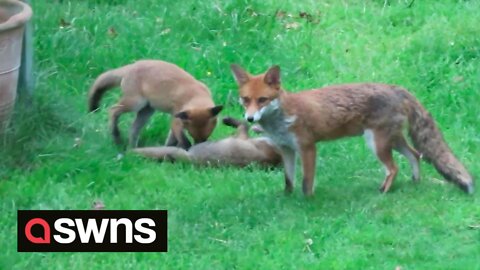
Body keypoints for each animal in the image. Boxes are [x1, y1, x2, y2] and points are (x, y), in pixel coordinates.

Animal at [88, 59, 223, 149]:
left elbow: (171, 141)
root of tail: (132, 65)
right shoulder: (176, 120)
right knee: (113, 109)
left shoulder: (177, 120)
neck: (195, 95)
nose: (200, 147)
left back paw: (132, 149)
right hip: (135, 103)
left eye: (205, 138)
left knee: (133, 129)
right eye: (192, 135)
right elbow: (183, 141)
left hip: (147, 111)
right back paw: (116, 135)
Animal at [231, 64, 474, 195]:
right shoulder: (286, 149)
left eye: (262, 100)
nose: (250, 118)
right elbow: (289, 180)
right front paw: (287, 199)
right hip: (393, 140)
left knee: (394, 168)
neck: (282, 120)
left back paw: (384, 191)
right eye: (246, 100)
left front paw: (307, 202)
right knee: (415, 155)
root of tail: (395, 88)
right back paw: (415, 182)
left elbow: (306, 182)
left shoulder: (308, 147)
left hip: (377, 144)